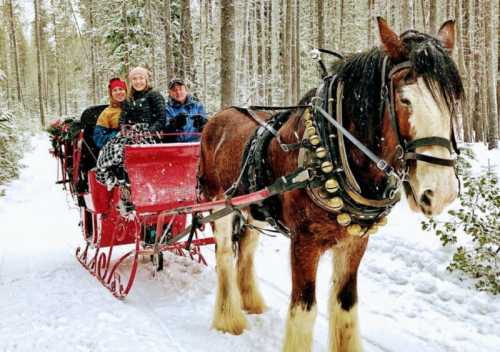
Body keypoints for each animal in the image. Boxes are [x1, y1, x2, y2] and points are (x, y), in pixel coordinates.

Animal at [197, 17, 462, 350]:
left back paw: (251, 302)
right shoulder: (303, 242)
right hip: (218, 202)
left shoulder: (355, 242)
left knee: (245, 250)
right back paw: (228, 318)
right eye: (404, 99)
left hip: (252, 208)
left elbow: (345, 305)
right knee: (223, 256)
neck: (334, 149)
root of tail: (218, 115)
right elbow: (304, 309)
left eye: (453, 100)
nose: (440, 192)